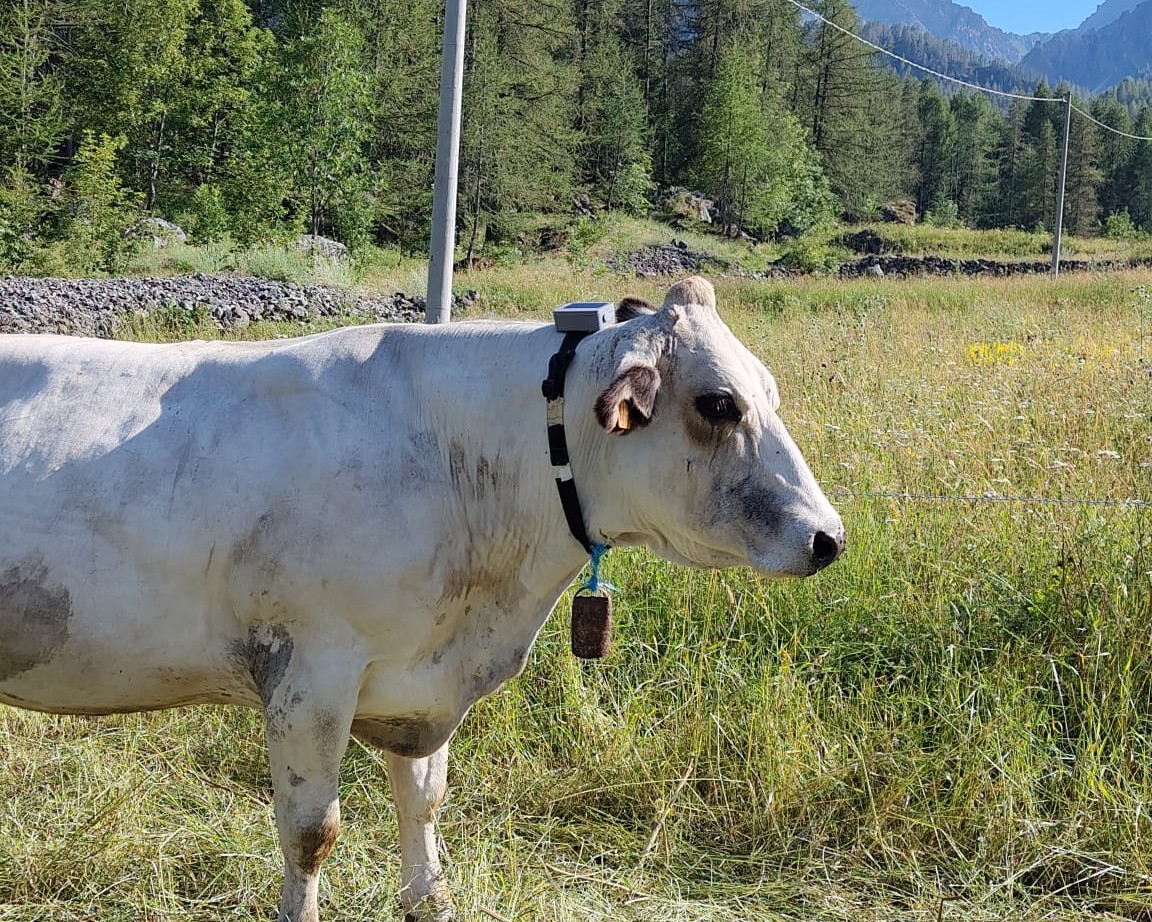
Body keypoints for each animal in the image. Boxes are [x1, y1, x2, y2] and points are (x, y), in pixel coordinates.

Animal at [0, 276, 843, 922]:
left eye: (768, 391)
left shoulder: (420, 682)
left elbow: (425, 800)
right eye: (718, 404)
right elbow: (311, 831)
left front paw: (429, 898)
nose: (827, 536)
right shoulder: (312, 669)